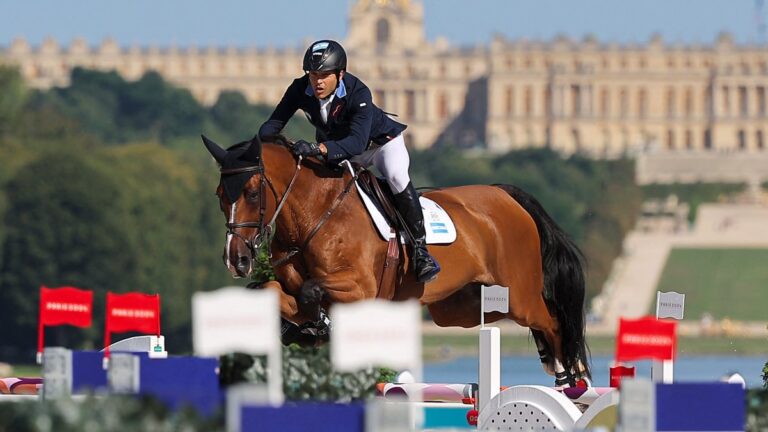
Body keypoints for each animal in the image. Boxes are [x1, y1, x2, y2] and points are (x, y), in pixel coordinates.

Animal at [201, 134, 592, 384]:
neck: (314, 215)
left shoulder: (359, 290)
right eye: (219, 195)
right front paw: (304, 328)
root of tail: (505, 194)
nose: (236, 260)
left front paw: (318, 322)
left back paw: (572, 375)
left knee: (553, 319)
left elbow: (313, 290)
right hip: (461, 308)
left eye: (252, 193)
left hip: (520, 295)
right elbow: (270, 291)